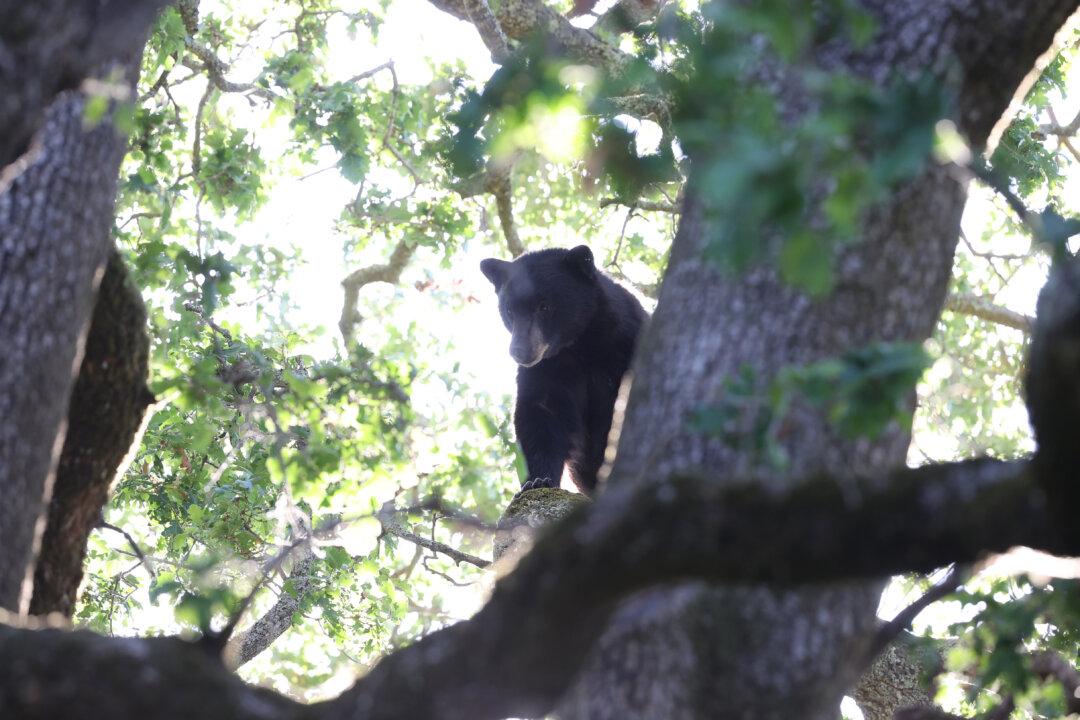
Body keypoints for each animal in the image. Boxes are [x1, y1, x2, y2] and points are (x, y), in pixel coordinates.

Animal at [479, 245, 648, 495]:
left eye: (544, 306)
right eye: (509, 310)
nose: (520, 351)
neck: (579, 345)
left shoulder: (626, 343)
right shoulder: (546, 370)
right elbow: (539, 416)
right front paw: (537, 480)